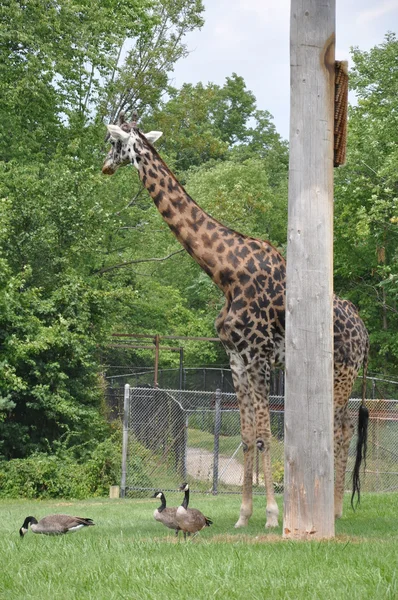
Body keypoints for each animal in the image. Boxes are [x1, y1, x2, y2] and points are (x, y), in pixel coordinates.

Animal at [102, 115, 370, 528]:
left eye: (112, 142)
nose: (104, 167)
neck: (224, 273)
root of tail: (364, 329)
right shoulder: (237, 359)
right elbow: (246, 437)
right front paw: (244, 516)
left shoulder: (258, 355)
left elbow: (265, 435)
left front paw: (273, 516)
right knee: (340, 427)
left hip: (344, 371)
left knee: (341, 427)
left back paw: (337, 510)